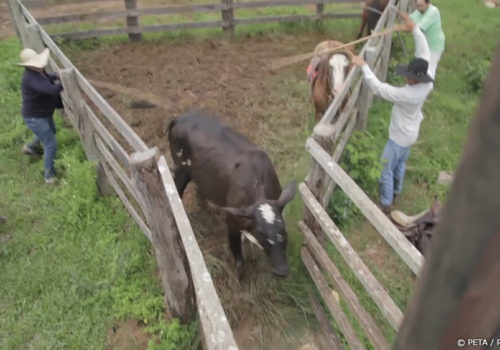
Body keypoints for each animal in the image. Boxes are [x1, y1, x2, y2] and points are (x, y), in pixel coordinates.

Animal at [167, 112, 296, 278]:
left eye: (283, 229)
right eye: (261, 232)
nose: (281, 270)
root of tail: (180, 118)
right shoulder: (232, 222)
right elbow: (239, 259)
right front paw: (240, 276)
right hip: (181, 171)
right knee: (176, 191)